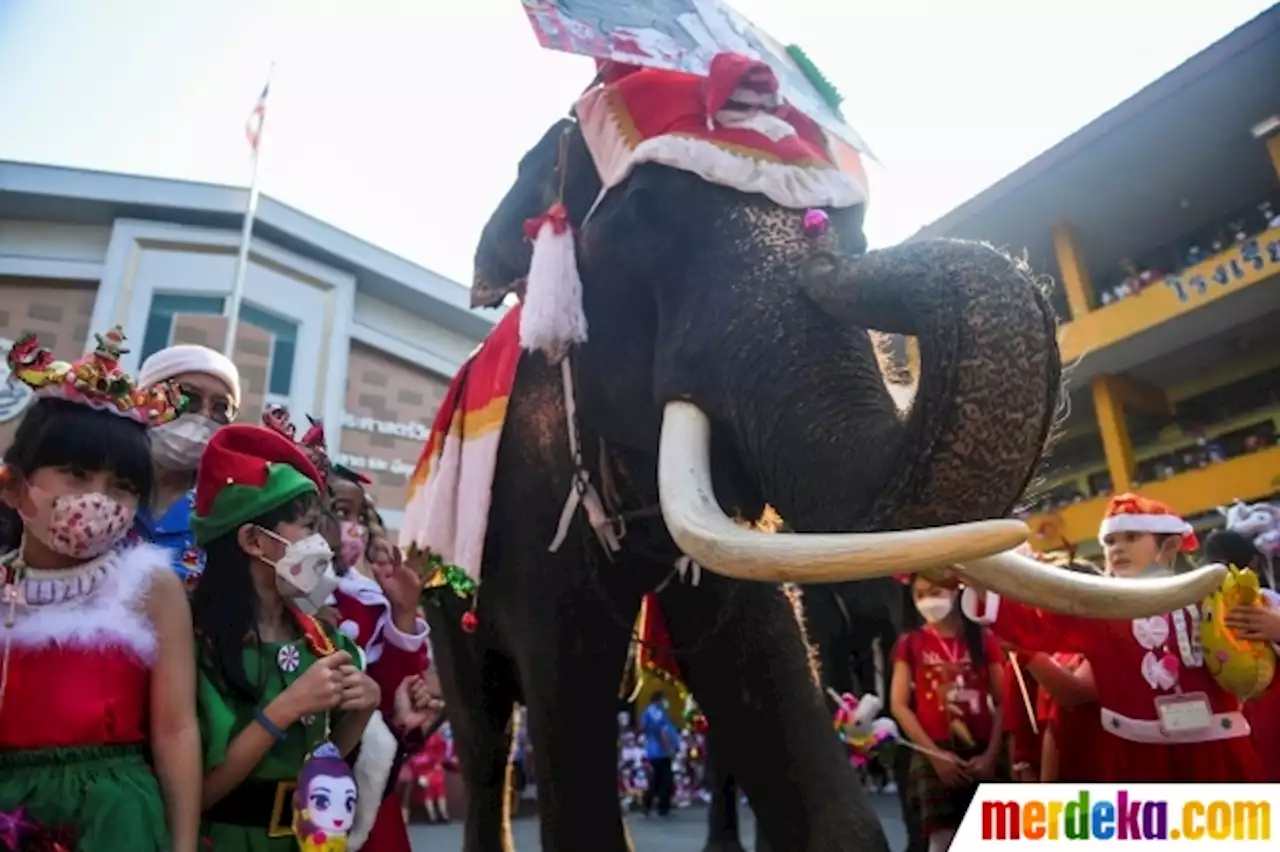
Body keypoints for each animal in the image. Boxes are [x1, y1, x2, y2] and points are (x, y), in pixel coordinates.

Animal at [419, 112, 1208, 849]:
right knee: (488, 736)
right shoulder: (530, 514)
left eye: (854, 229)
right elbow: (566, 695)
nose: (829, 255)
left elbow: (769, 678)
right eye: (644, 209)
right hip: (439, 598)